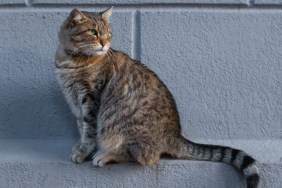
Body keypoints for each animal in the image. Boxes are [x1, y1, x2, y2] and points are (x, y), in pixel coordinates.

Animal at [54, 7, 260, 188]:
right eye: (93, 32)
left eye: (108, 33)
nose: (105, 44)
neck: (70, 59)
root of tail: (175, 135)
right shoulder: (75, 101)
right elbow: (82, 127)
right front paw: (80, 147)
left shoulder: (90, 98)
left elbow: (89, 131)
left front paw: (84, 152)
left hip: (121, 124)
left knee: (144, 156)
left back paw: (107, 155)